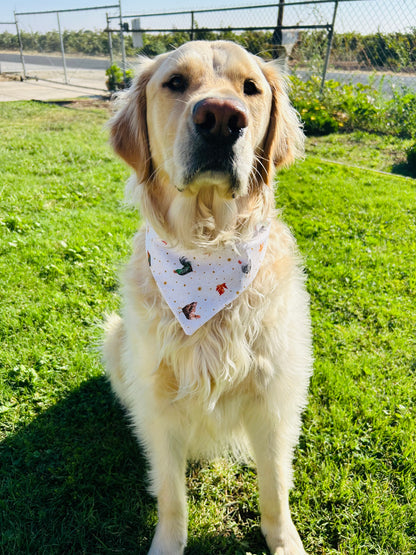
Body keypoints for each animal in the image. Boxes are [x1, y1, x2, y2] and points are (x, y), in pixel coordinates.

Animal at [103, 40, 312, 555]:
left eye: (251, 88)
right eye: (175, 82)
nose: (220, 118)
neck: (208, 244)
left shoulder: (274, 398)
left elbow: (275, 487)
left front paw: (284, 541)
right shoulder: (158, 403)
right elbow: (171, 495)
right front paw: (168, 543)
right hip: (115, 338)